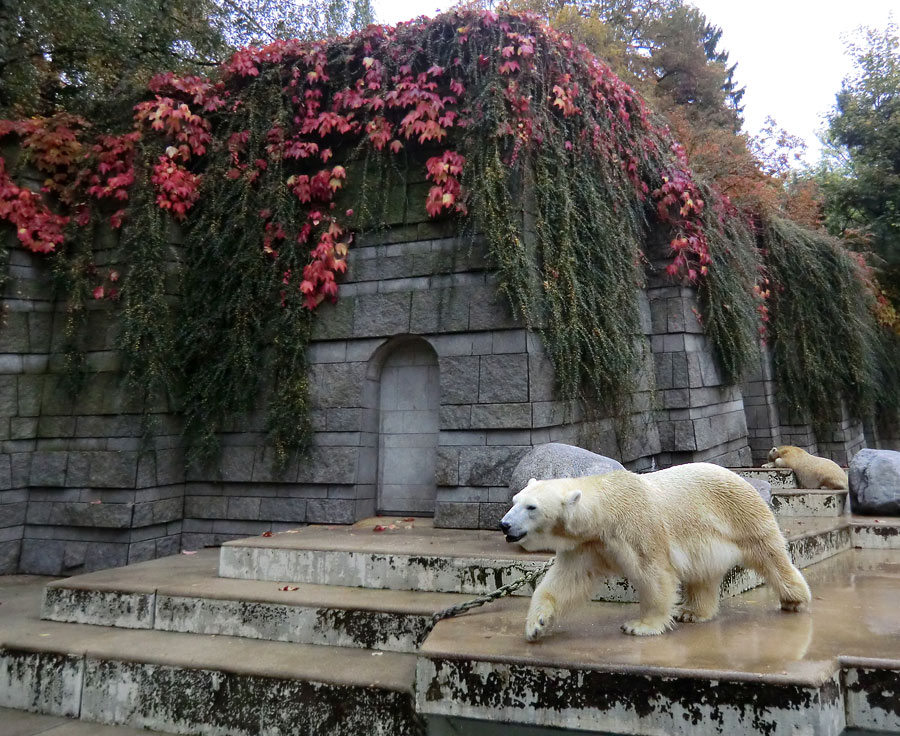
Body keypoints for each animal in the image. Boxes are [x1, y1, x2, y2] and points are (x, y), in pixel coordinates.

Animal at [496, 466, 812, 640]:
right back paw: (692, 612)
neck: (604, 512)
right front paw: (536, 625)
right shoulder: (587, 545)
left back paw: (794, 599)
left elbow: (654, 574)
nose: (504, 525)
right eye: (514, 500)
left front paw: (641, 626)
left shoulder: (637, 527)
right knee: (703, 574)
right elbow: (564, 581)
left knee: (769, 554)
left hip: (740, 514)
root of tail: (742, 478)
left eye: (532, 507)